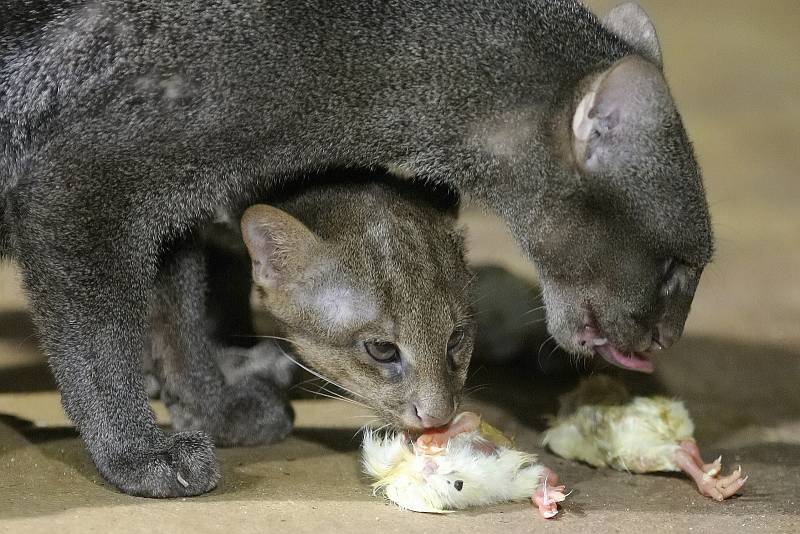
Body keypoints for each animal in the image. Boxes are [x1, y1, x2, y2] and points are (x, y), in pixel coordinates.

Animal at [0, 2, 712, 500]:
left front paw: (213, 408)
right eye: (677, 267)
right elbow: (98, 347)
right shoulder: (83, 187)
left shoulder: (172, 216)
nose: (667, 339)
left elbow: (178, 327)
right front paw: (138, 454)